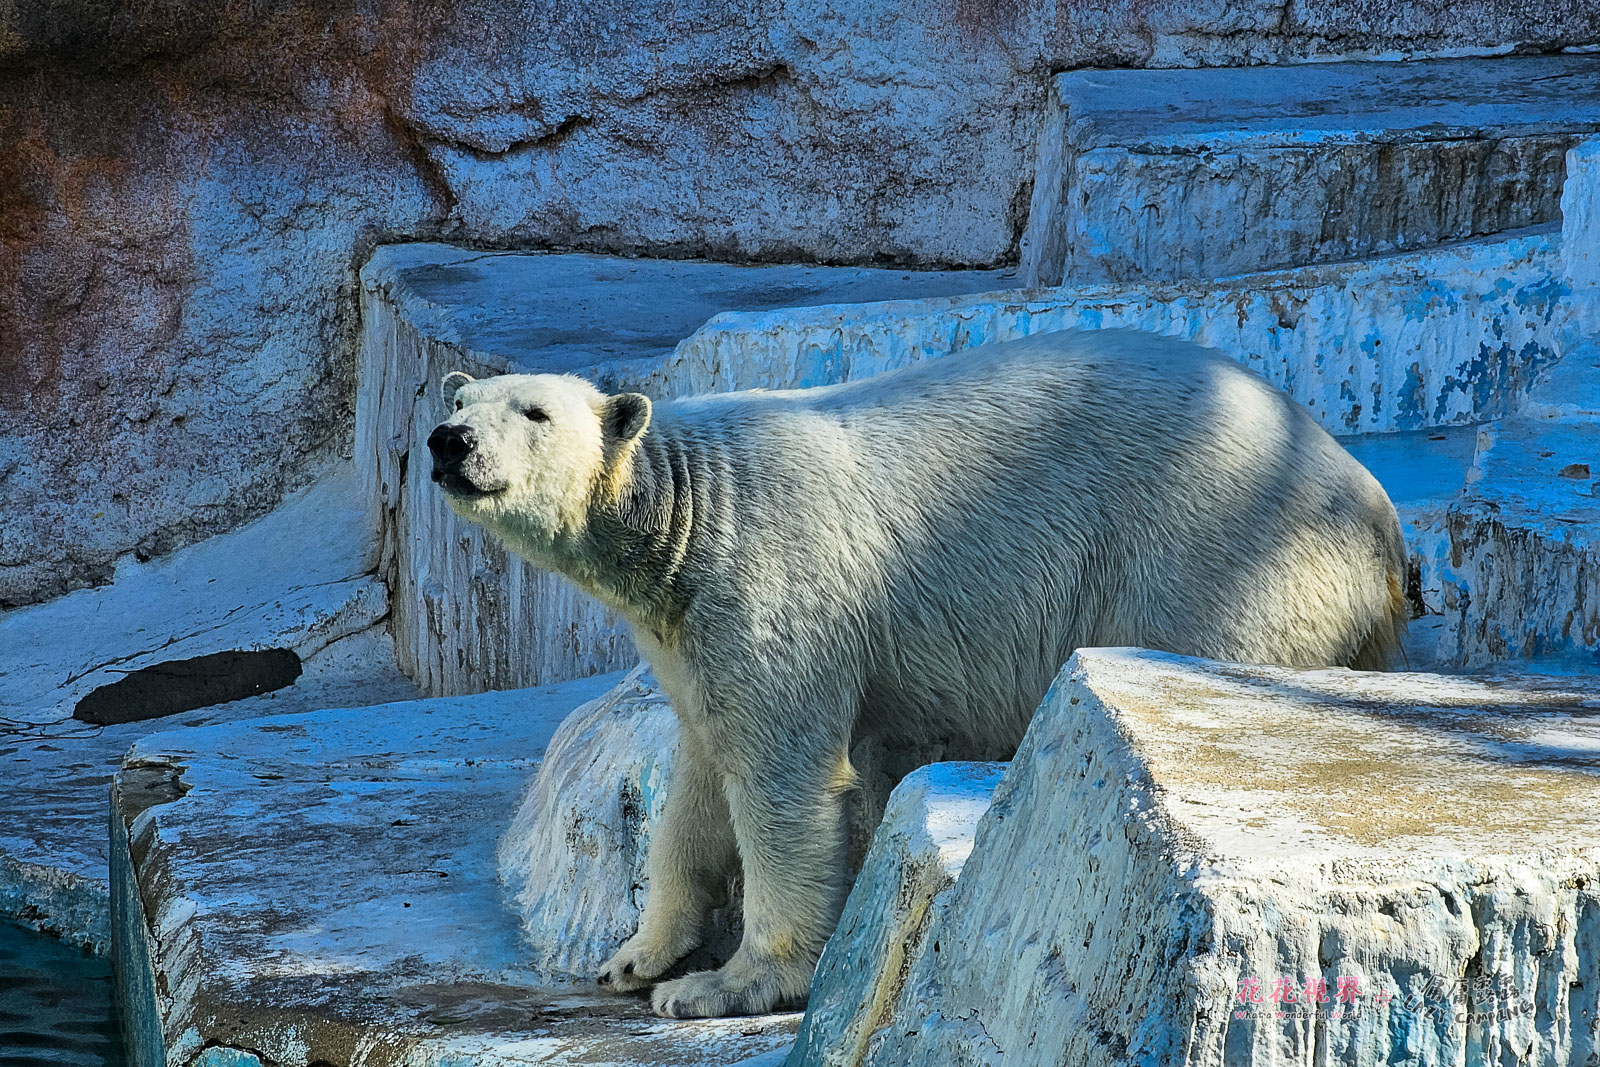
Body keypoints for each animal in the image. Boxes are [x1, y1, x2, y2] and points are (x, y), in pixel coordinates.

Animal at [427, 328, 1408, 1019]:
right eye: (465, 395)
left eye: (535, 412)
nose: (448, 439)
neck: (693, 504)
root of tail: (1379, 521)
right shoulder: (689, 627)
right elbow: (701, 778)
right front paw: (636, 956)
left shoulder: (772, 579)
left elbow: (784, 779)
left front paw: (728, 984)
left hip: (1216, 547)